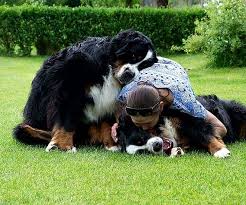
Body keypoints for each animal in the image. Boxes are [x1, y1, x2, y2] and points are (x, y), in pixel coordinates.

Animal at [13, 29, 158, 152]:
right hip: (25, 128)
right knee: (23, 130)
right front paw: (62, 145)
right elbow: (66, 118)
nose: (130, 74)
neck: (109, 70)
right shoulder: (70, 88)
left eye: (143, 66)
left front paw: (112, 143)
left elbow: (106, 121)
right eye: (133, 55)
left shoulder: (109, 100)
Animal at [117, 95, 246, 159]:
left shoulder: (189, 120)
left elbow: (206, 136)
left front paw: (220, 151)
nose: (156, 146)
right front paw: (176, 152)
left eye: (141, 138)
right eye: (144, 152)